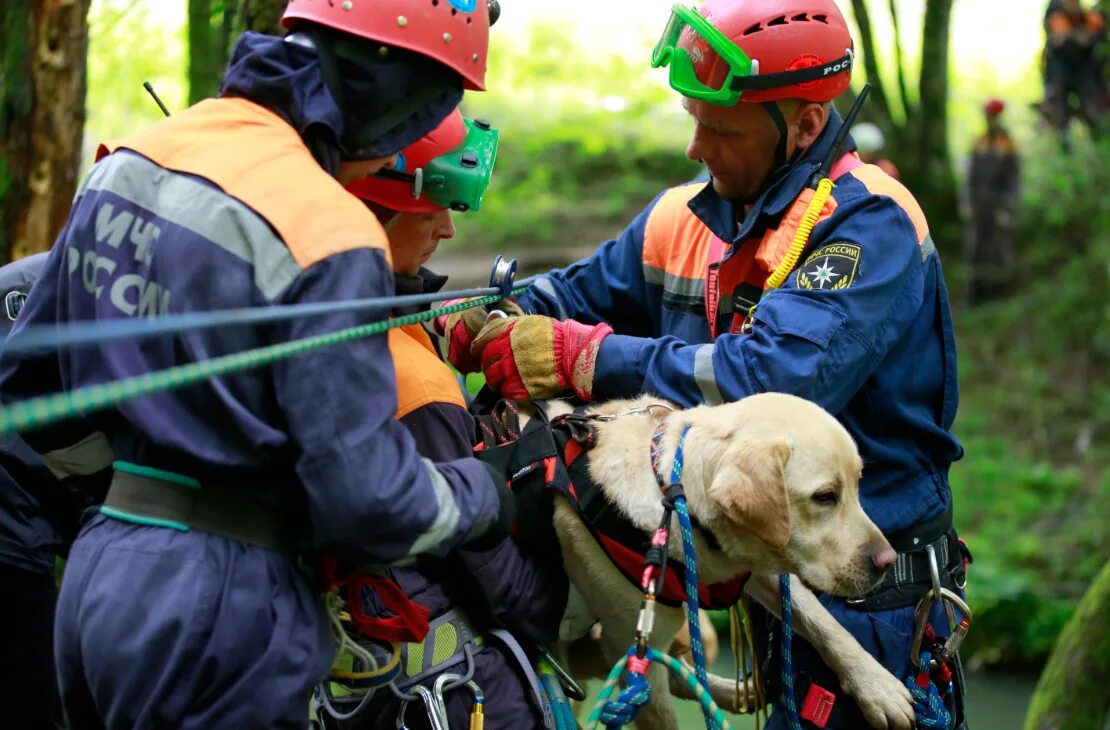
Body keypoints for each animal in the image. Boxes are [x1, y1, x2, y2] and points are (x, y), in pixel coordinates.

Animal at [535, 392, 910, 727]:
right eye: (825, 496)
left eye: (857, 485)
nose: (888, 561)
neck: (674, 497)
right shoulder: (633, 650)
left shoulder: (760, 565)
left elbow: (825, 624)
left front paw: (878, 687)